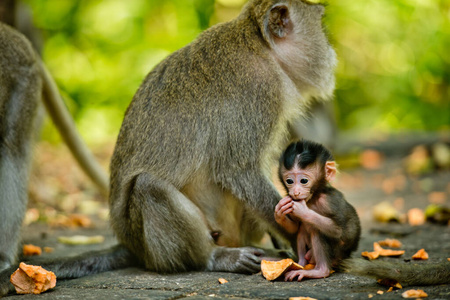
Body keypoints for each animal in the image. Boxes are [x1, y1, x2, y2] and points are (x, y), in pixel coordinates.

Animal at [272, 139, 360, 280]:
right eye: (289, 181)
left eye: (304, 180)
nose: (295, 192)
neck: (313, 198)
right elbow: (295, 227)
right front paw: (279, 213)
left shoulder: (329, 201)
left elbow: (338, 231)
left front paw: (303, 211)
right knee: (302, 230)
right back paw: (300, 263)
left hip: (336, 253)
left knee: (316, 230)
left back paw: (320, 271)